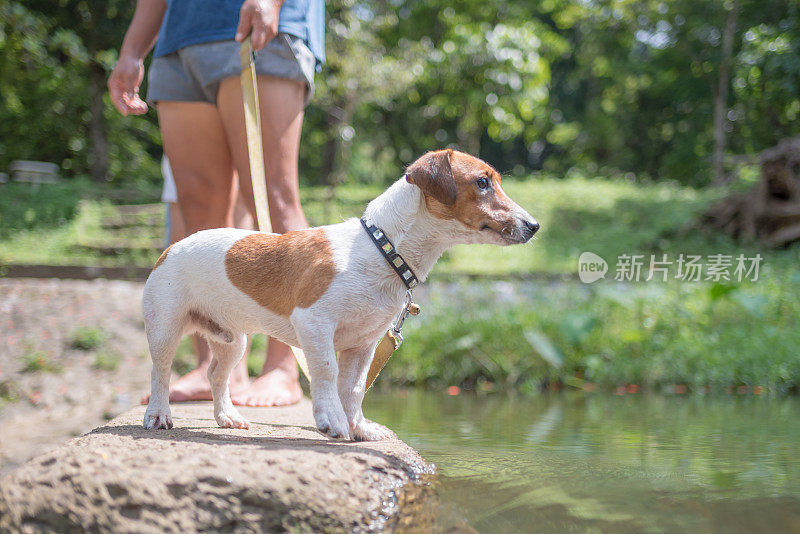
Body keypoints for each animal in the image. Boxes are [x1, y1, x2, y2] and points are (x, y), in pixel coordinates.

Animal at [143, 149, 540, 442]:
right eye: (482, 182)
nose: (535, 226)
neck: (382, 248)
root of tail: (171, 248)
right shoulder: (314, 323)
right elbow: (328, 372)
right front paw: (332, 419)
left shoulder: (363, 343)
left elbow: (354, 387)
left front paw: (358, 427)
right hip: (165, 328)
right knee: (161, 372)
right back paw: (159, 414)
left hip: (232, 340)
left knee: (216, 374)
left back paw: (227, 416)